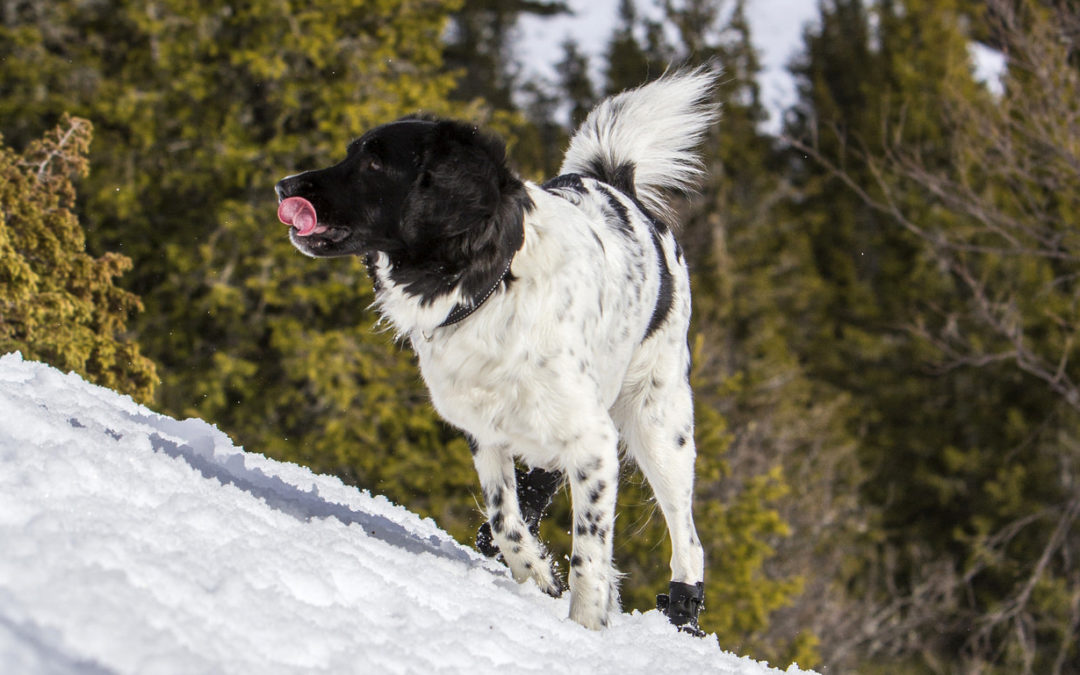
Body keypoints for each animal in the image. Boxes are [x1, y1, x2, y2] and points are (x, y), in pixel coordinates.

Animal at [276, 68, 717, 630]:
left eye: (374, 161)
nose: (284, 186)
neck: (491, 284)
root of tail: (618, 184)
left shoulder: (594, 439)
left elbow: (590, 551)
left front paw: (586, 623)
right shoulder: (483, 428)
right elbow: (504, 515)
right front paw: (537, 573)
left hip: (659, 424)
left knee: (687, 535)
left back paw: (683, 610)